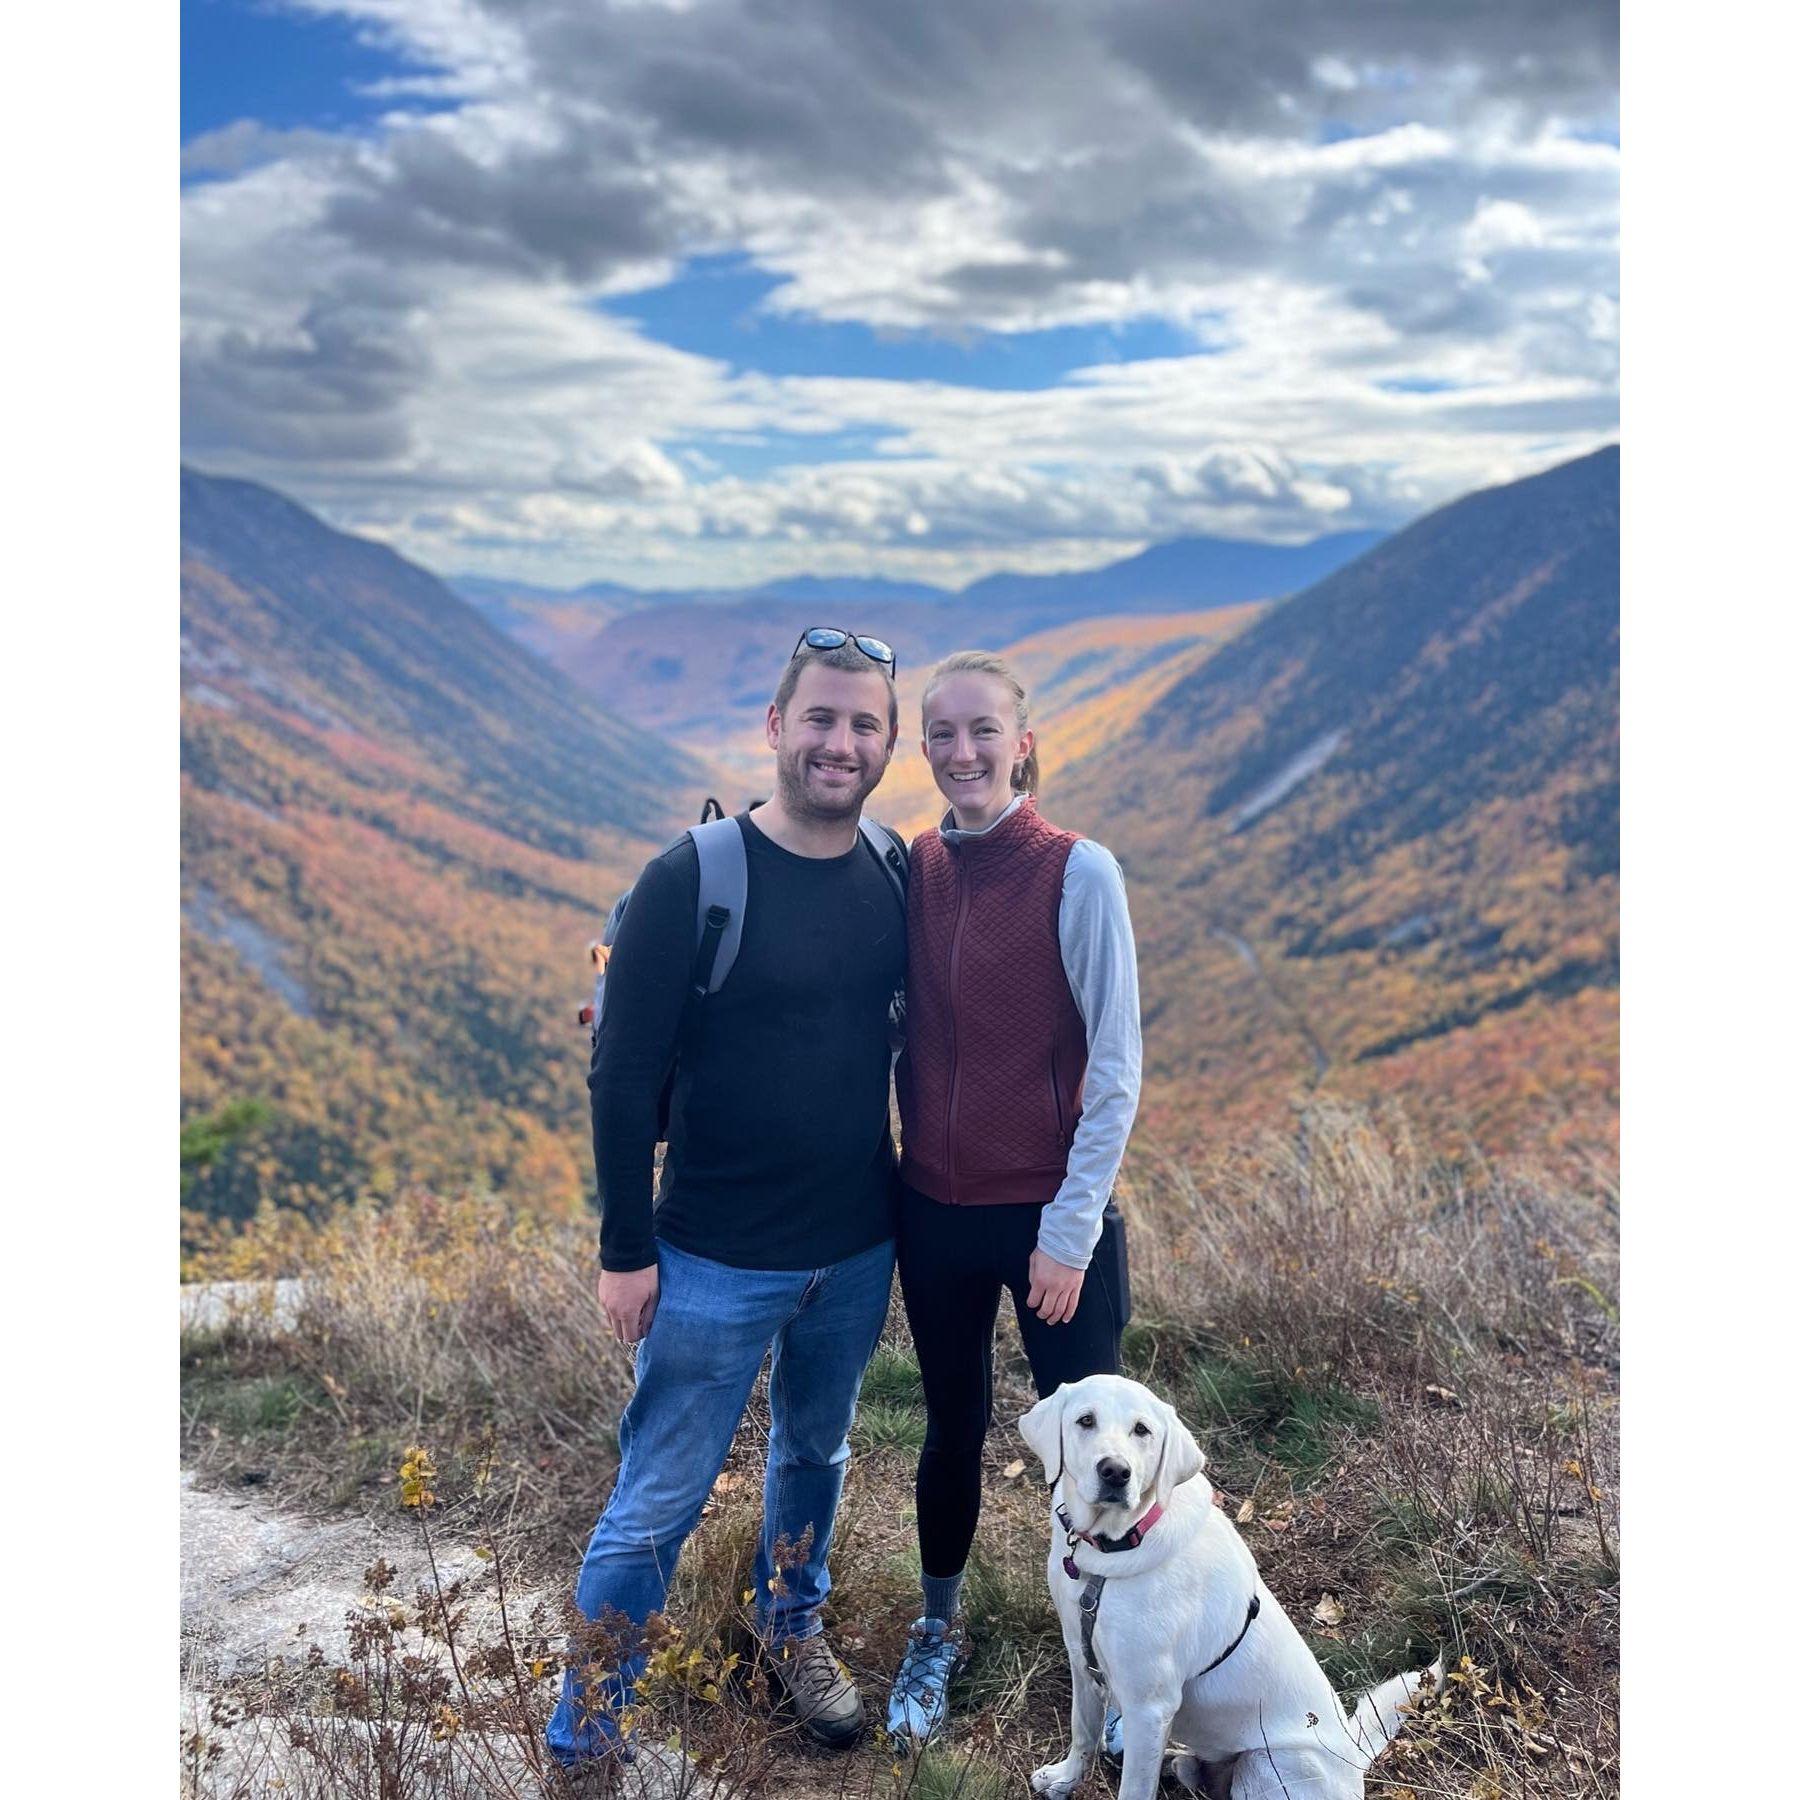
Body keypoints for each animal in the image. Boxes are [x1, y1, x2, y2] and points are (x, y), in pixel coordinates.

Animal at [1022, 1368, 1440, 1792]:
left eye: (1142, 1430)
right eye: (1085, 1420)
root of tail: (1352, 1761)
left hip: (1270, 1764)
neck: (1112, 1551)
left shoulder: (1149, 1707)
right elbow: (1082, 1733)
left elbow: (1134, 1787)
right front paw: (1064, 1779)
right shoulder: (1081, 1658)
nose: (1115, 1472)